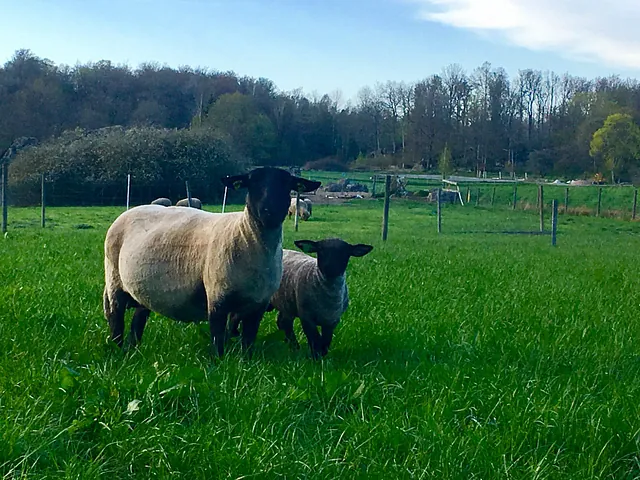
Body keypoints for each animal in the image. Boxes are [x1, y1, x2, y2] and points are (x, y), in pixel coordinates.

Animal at [104, 166, 320, 356]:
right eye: (252, 183)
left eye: (287, 184)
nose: (270, 211)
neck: (245, 235)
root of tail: (130, 211)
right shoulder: (217, 294)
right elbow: (217, 336)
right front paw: (218, 363)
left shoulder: (258, 303)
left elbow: (248, 339)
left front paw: (246, 361)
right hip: (114, 280)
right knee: (116, 320)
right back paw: (117, 350)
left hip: (142, 289)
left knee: (138, 320)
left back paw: (133, 350)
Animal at [229, 238, 372, 358]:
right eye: (321, 251)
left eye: (345, 253)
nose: (330, 268)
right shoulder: (306, 317)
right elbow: (314, 338)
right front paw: (316, 357)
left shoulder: (332, 321)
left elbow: (326, 340)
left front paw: (322, 354)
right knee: (236, 316)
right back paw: (234, 333)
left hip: (287, 303)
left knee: (283, 322)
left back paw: (293, 345)